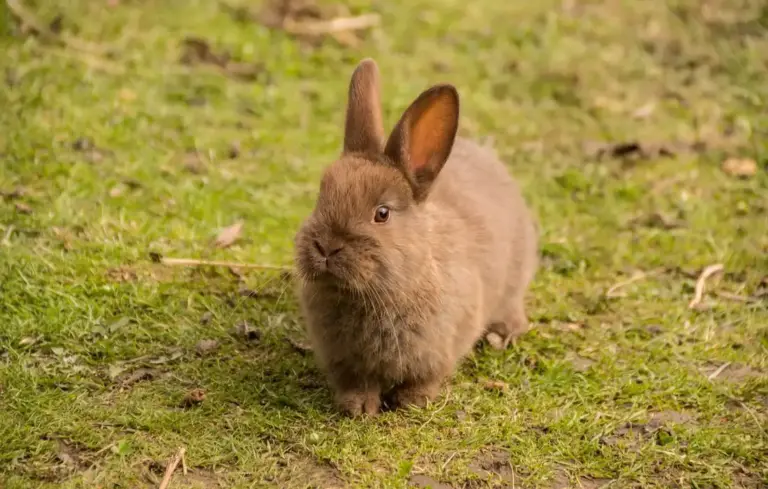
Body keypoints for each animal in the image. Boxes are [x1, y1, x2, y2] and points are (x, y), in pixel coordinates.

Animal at [294, 58, 538, 417]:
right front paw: (358, 408)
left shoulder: (439, 351)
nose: (326, 247)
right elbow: (357, 383)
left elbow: (425, 379)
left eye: (382, 213)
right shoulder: (346, 363)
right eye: (320, 197)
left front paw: (411, 402)